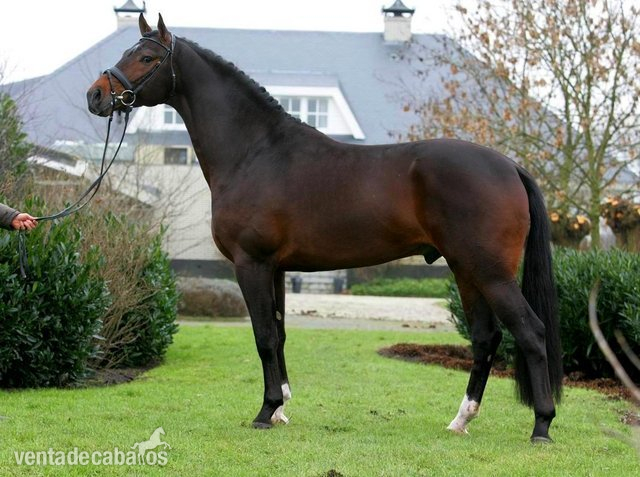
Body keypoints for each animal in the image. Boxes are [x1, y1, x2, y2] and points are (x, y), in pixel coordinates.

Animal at [87, 14, 563, 443]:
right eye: (128, 52)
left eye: (146, 57)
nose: (96, 95)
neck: (255, 152)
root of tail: (509, 166)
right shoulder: (276, 269)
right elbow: (278, 335)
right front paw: (281, 408)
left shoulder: (251, 263)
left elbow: (263, 337)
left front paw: (265, 412)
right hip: (466, 270)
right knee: (486, 338)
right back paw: (461, 421)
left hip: (490, 272)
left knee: (531, 332)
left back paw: (542, 425)